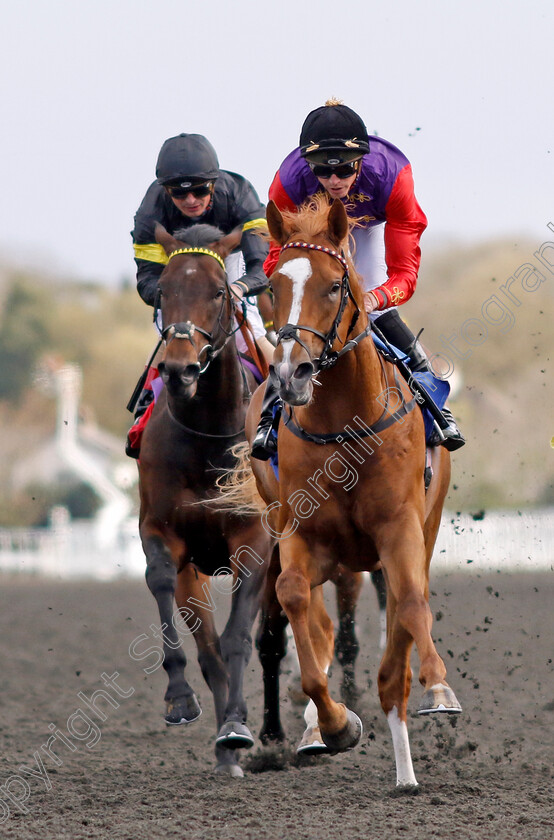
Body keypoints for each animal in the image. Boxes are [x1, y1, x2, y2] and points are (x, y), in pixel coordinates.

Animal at [226, 197, 460, 788]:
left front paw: (438, 688)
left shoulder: (400, 530)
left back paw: (406, 753)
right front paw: (334, 725)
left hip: (423, 528)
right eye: (272, 287)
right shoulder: (302, 535)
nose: (290, 373)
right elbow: (294, 602)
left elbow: (412, 603)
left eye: (335, 286)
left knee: (404, 609)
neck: (343, 428)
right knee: (316, 620)